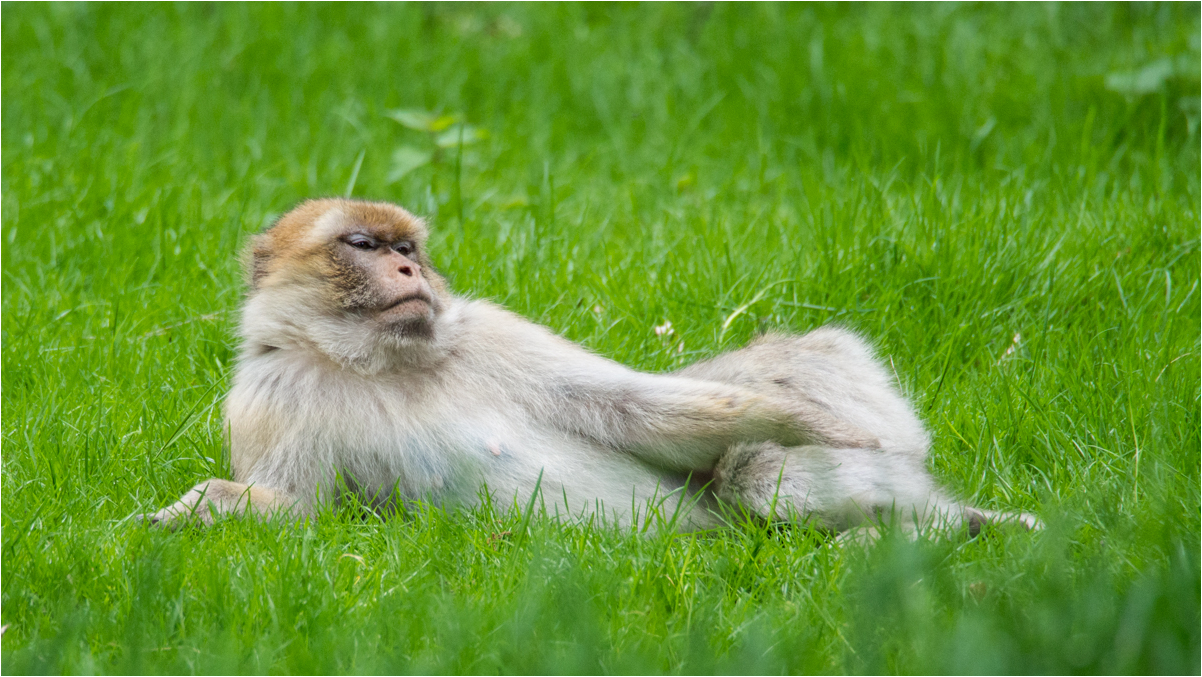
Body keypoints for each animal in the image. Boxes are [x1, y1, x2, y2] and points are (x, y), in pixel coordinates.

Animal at [140, 198, 1038, 538]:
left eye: (410, 249)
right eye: (362, 245)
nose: (407, 271)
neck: (371, 361)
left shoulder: (488, 331)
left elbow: (627, 403)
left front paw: (812, 419)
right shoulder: (268, 394)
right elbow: (299, 510)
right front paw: (193, 509)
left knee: (759, 467)